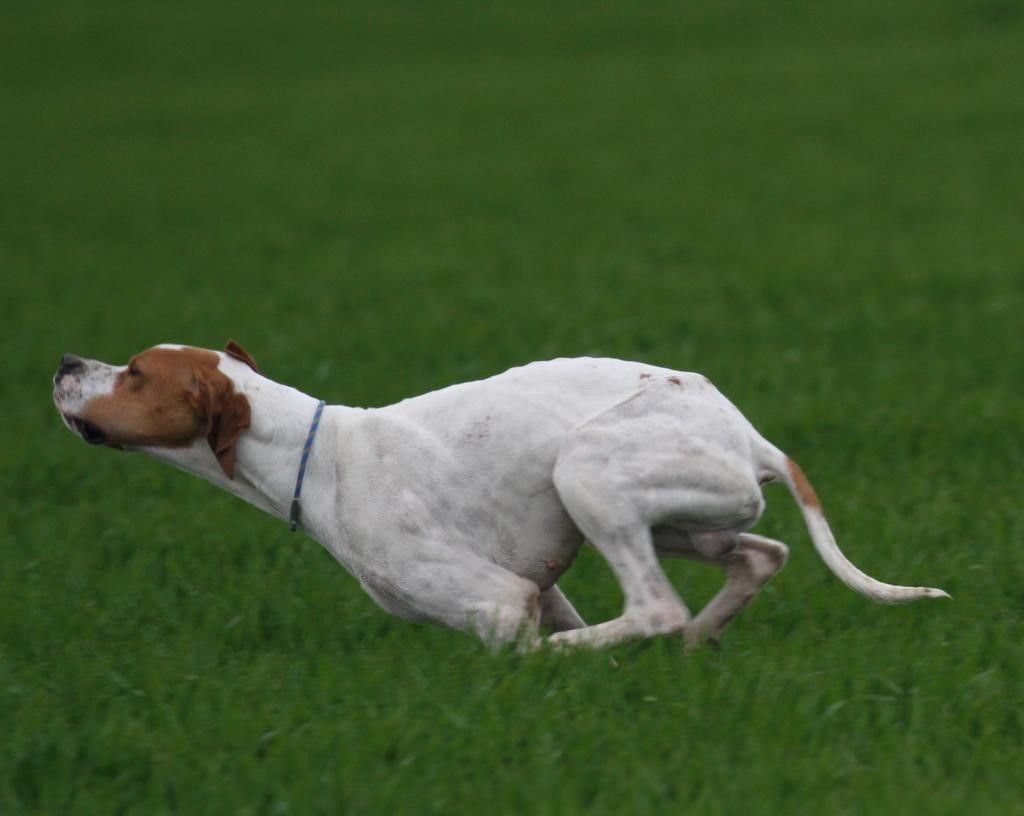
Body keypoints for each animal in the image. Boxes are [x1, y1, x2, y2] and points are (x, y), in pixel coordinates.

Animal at [49, 339, 942, 647]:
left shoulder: (501, 603)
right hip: (679, 516)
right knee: (757, 555)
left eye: (136, 373)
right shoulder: (541, 591)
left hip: (586, 469)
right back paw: (696, 645)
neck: (317, 454)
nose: (64, 362)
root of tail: (750, 433)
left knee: (656, 606)